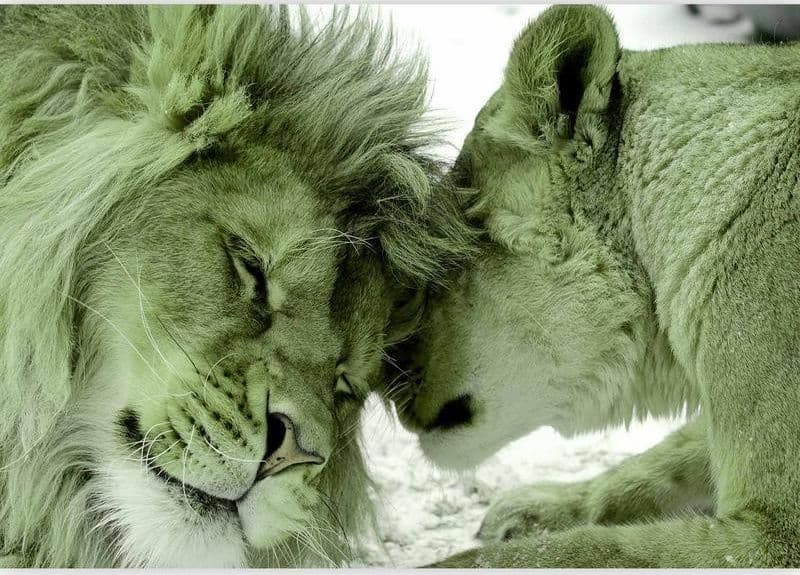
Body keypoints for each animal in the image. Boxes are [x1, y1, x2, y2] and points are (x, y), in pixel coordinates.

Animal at [387, 4, 800, 568]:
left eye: (440, 264)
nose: (384, 379)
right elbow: (660, 462)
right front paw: (533, 508)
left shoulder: (775, 535)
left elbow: (578, 551)